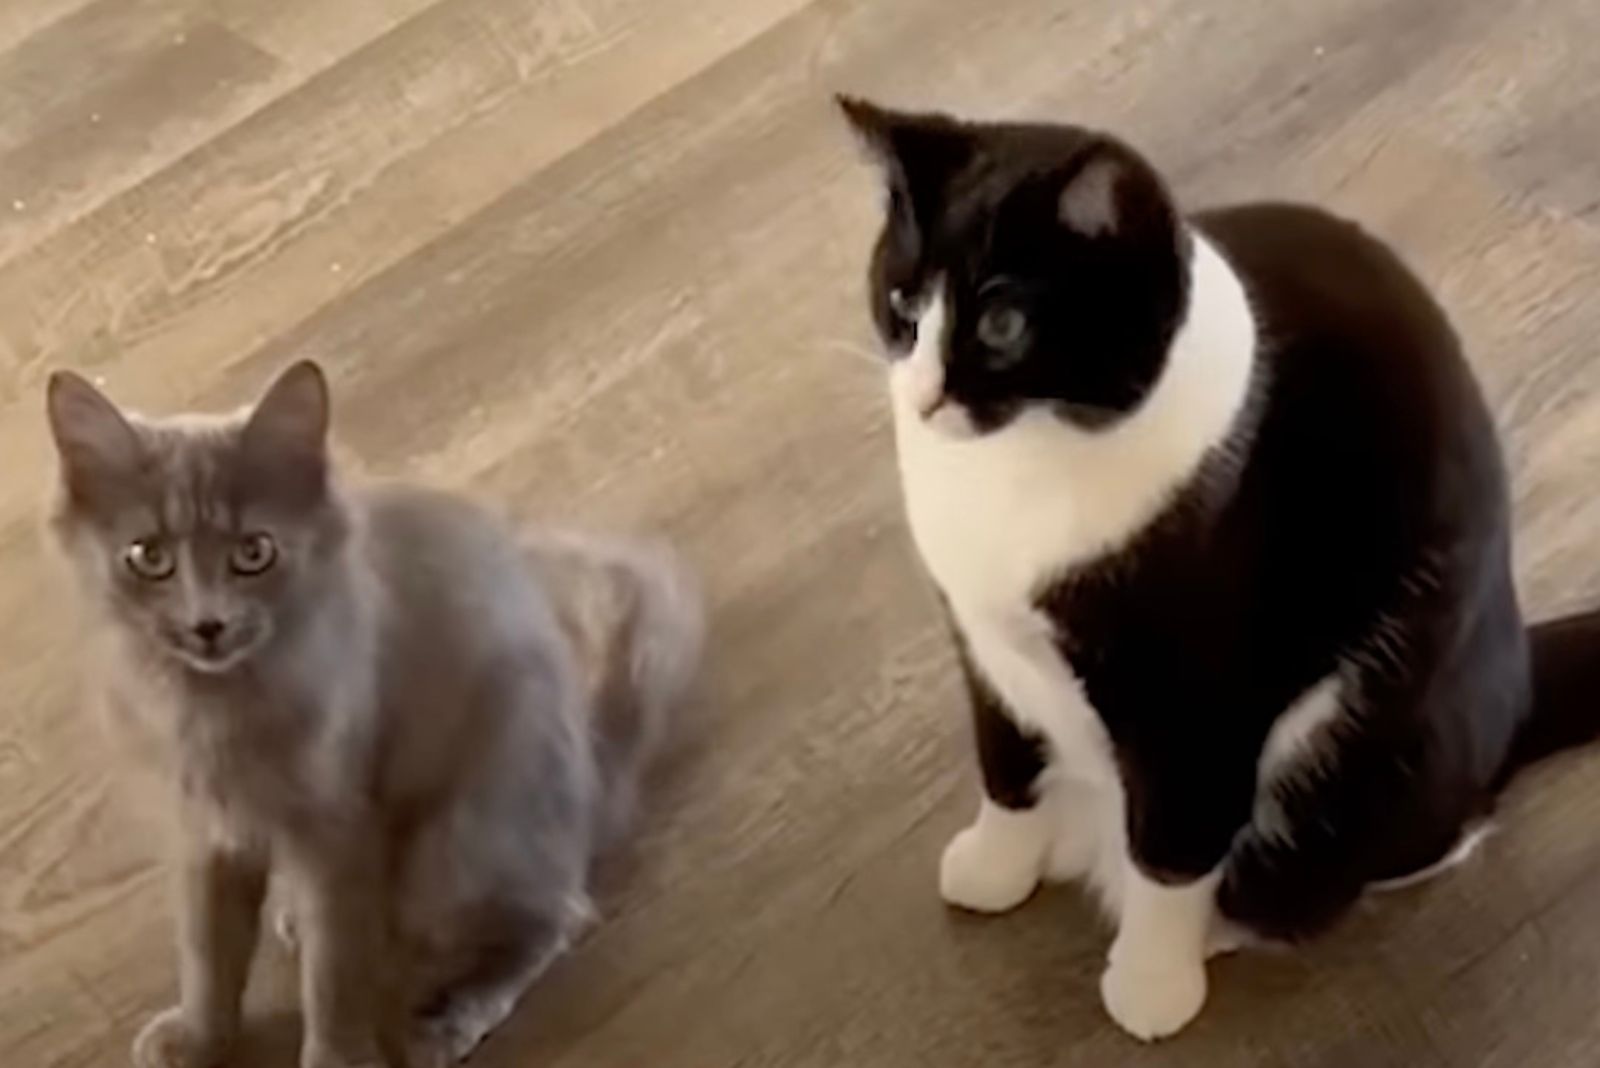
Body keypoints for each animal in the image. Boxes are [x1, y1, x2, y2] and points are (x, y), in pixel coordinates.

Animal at [45, 362, 700, 1061]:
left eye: (254, 552)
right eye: (149, 557)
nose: (207, 625)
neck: (213, 709)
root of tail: (592, 784)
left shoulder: (337, 828)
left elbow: (333, 979)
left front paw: (336, 1058)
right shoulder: (204, 834)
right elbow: (206, 955)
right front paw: (199, 1039)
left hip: (458, 842)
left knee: (555, 916)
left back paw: (450, 1018)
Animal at [838, 99, 1600, 1042]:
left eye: (1002, 326)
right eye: (902, 303)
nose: (926, 396)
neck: (1022, 467)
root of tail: (1521, 677)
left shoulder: (1198, 690)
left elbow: (1172, 846)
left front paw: (1151, 983)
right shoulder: (981, 640)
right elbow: (1004, 760)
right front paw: (994, 865)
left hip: (1367, 752)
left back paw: (1216, 924)